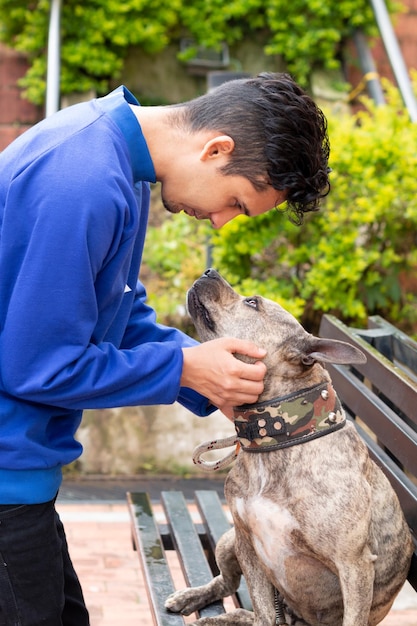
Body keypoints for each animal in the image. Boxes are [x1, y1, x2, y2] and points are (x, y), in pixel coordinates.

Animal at [164, 268, 412, 624]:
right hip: (227, 541)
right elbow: (264, 610)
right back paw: (199, 602)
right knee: (229, 585)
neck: (278, 437)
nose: (210, 271)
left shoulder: (355, 566)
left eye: (252, 302)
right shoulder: (246, 543)